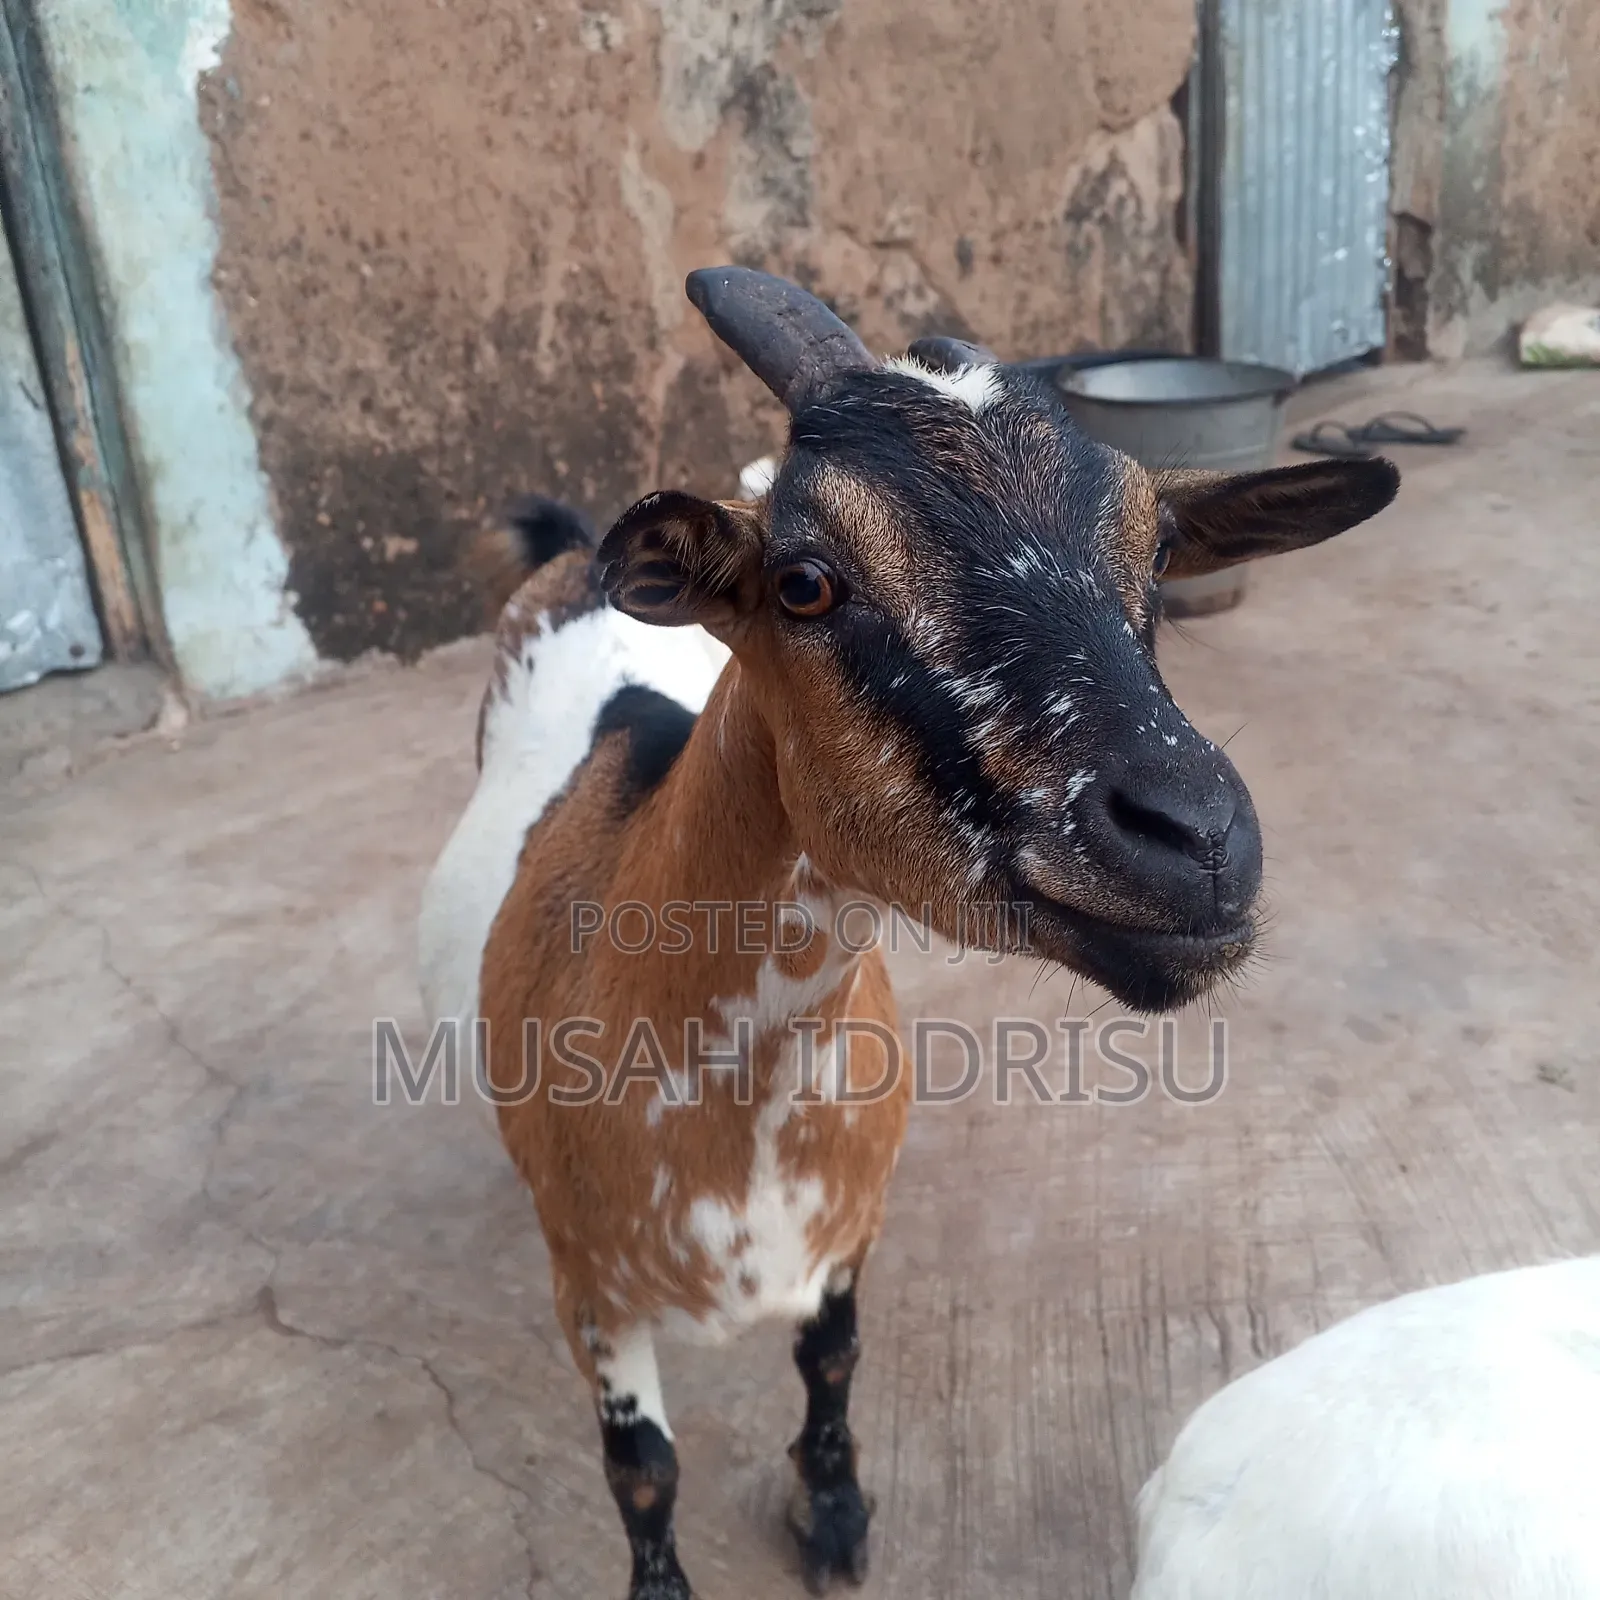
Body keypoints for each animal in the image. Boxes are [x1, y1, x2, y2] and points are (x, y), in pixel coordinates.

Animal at [418, 266, 1399, 1600]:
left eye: (1155, 554)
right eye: (805, 581)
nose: (1196, 839)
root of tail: (572, 555)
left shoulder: (849, 1231)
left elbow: (831, 1367)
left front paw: (835, 1515)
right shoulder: (592, 1292)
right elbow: (643, 1473)